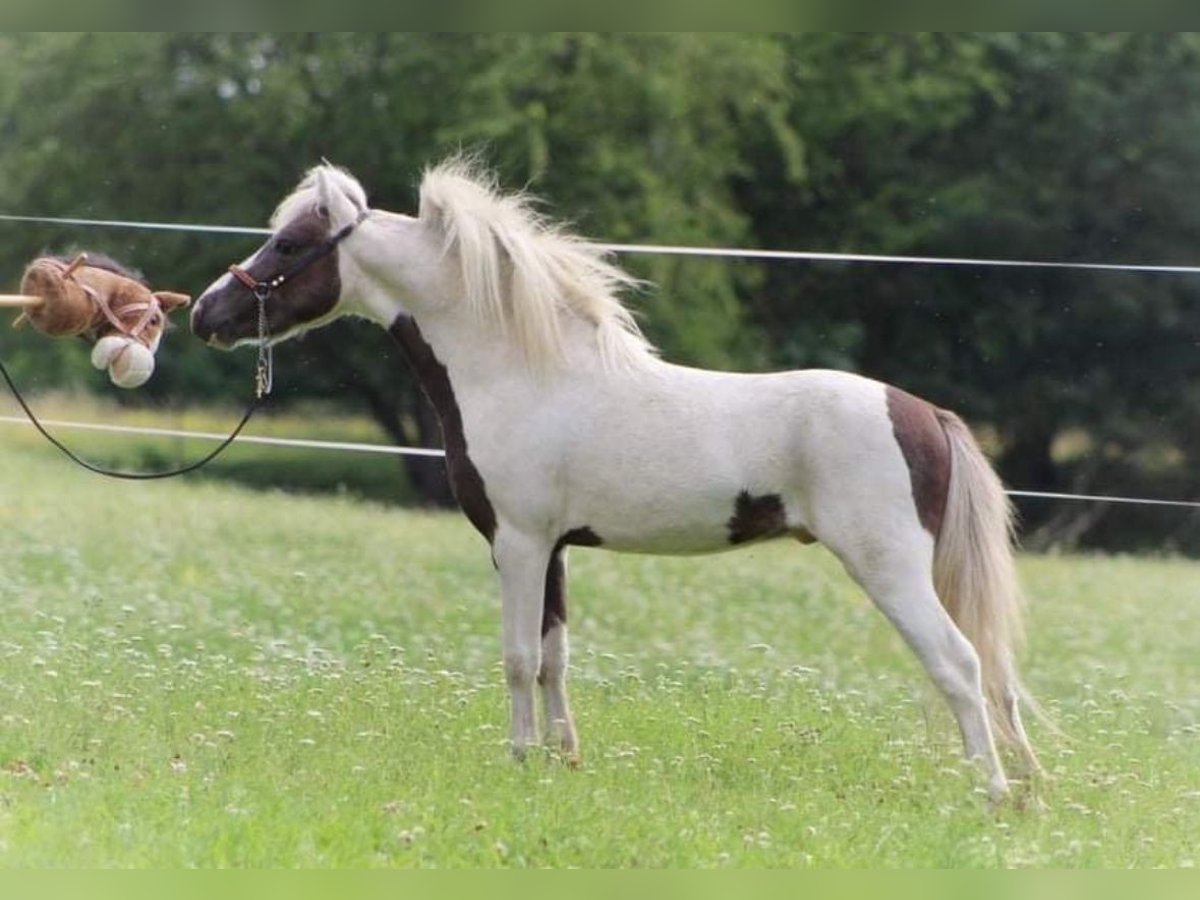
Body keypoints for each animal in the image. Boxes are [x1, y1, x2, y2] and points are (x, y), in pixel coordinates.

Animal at [189, 158, 1041, 801]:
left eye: (290, 245)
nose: (206, 313)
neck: (523, 373)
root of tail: (925, 413)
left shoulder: (519, 544)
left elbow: (518, 658)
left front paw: (518, 764)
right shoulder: (557, 549)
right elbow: (554, 658)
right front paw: (563, 762)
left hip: (889, 568)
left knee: (960, 665)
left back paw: (992, 794)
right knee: (994, 673)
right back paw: (1030, 791)